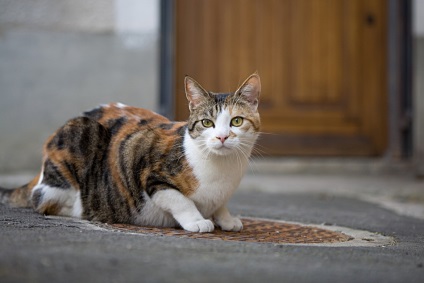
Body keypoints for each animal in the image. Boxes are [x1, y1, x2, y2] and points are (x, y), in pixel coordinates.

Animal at [0, 74, 260, 234]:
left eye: (236, 121)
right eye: (207, 123)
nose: (222, 137)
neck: (222, 169)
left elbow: (219, 203)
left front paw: (226, 218)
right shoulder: (146, 168)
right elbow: (180, 199)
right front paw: (197, 220)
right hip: (79, 134)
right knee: (42, 199)